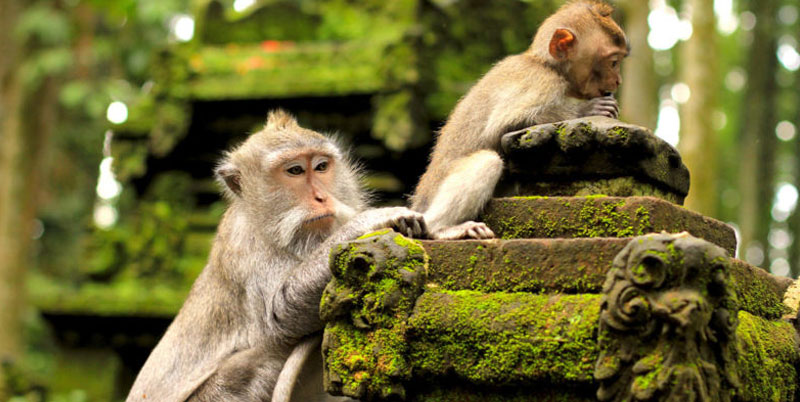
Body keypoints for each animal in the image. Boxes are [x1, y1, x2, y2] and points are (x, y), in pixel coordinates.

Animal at [126, 110, 428, 402]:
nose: (321, 197)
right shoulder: (247, 246)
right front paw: (370, 220)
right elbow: (279, 314)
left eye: (321, 167)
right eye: (295, 170)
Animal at [412, 0, 632, 239]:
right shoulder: (542, 82)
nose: (619, 80)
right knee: (488, 161)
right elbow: (502, 126)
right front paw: (587, 109)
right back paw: (441, 229)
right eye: (613, 62)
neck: (545, 64)